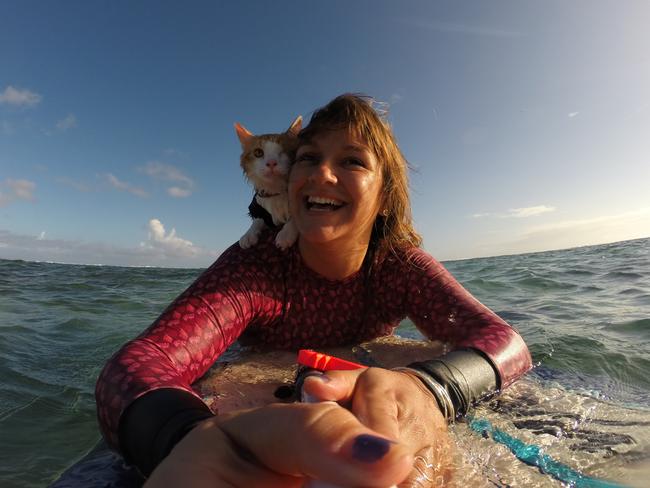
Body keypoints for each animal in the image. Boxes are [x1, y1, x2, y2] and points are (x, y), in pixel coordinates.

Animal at [235, 116, 302, 250]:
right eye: (258, 153)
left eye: (284, 151)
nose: (271, 163)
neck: (275, 190)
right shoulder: (261, 209)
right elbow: (258, 220)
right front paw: (248, 234)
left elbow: (296, 216)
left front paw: (286, 233)